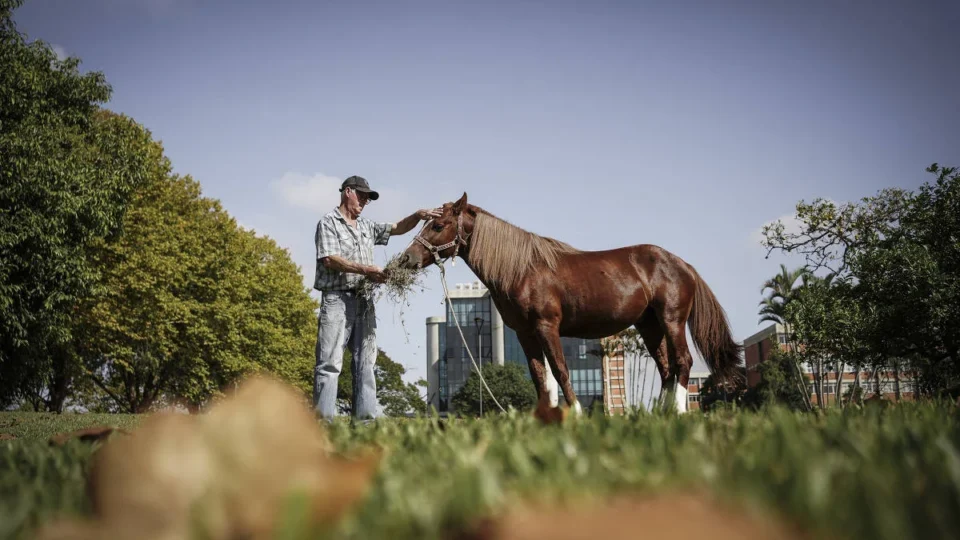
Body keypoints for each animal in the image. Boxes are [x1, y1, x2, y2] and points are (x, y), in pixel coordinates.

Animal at [397, 193, 743, 415]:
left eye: (438, 226)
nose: (407, 259)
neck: (522, 268)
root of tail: (682, 264)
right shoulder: (524, 333)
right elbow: (540, 377)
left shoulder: (546, 327)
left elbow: (560, 371)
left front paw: (574, 414)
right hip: (649, 325)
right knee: (667, 369)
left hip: (672, 320)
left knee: (682, 362)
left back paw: (679, 413)